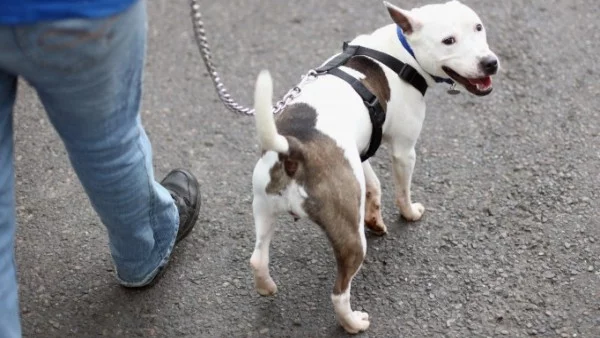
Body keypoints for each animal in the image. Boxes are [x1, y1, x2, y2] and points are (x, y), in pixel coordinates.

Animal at [247, 0, 496, 332]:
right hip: (350, 239)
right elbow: (402, 191)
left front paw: (375, 217)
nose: (490, 63)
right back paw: (353, 323)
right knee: (339, 292)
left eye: (478, 27)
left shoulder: (359, 152)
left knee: (258, 259)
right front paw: (410, 213)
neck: (401, 51)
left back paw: (267, 287)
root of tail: (293, 148)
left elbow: (373, 184)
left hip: (264, 207)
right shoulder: (404, 151)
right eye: (448, 40)